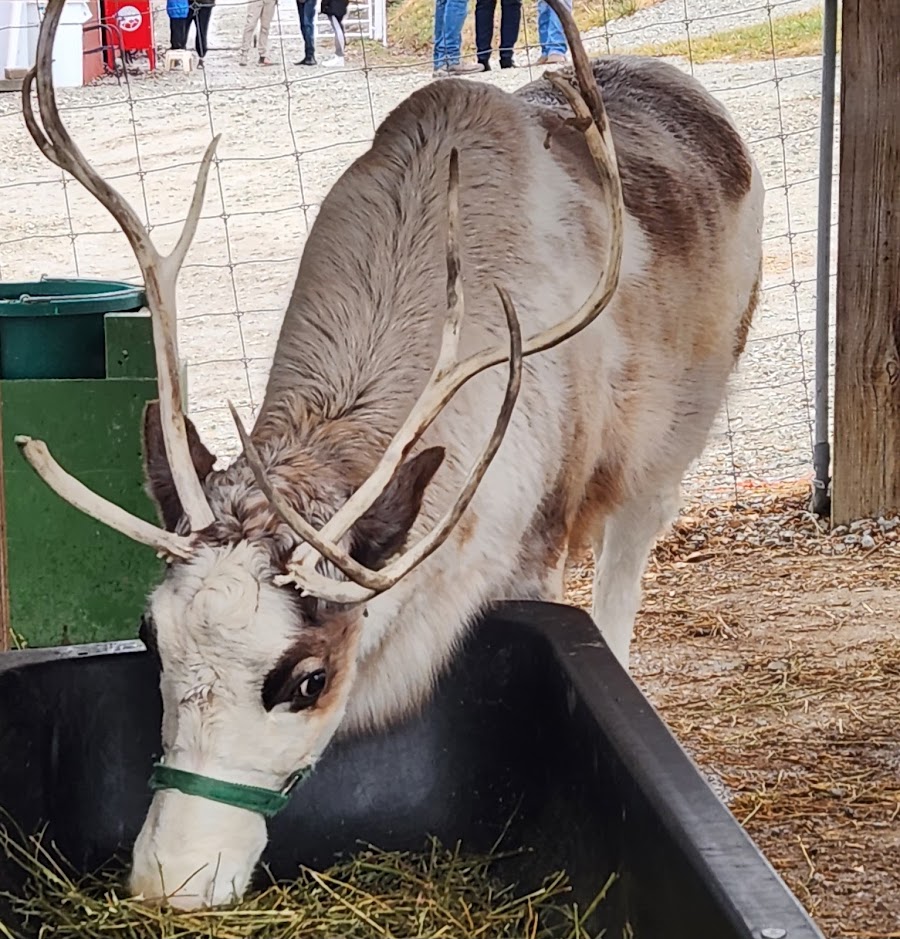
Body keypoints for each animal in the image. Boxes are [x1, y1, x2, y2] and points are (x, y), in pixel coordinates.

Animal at [16, 0, 764, 912]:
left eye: (309, 680)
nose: (171, 881)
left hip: (675, 439)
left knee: (630, 554)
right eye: (150, 640)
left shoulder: (535, 546)